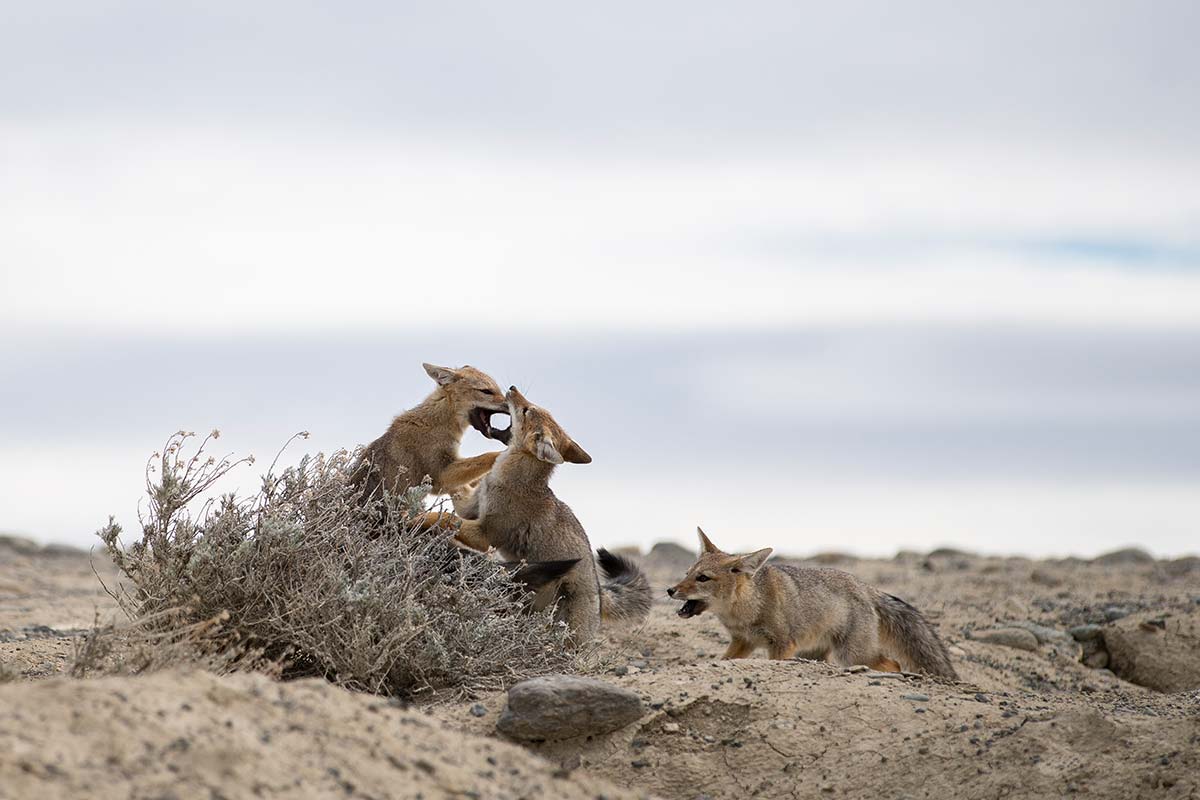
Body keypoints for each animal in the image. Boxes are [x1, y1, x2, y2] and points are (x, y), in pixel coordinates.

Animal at [350, 362, 513, 501]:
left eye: (499, 390)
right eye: (486, 391)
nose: (510, 404)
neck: (436, 422)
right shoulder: (440, 477)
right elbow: (488, 455)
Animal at [427, 383, 652, 642]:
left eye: (526, 410)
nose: (512, 387)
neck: (511, 477)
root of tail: (598, 591)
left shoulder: (485, 535)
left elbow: (446, 518)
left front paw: (414, 517)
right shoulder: (471, 508)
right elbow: (456, 493)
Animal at [667, 527, 955, 681]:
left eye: (702, 578)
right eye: (687, 573)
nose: (670, 590)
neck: (746, 611)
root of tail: (865, 587)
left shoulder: (782, 645)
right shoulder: (743, 642)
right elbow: (724, 660)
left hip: (853, 654)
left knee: (892, 663)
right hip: (816, 654)